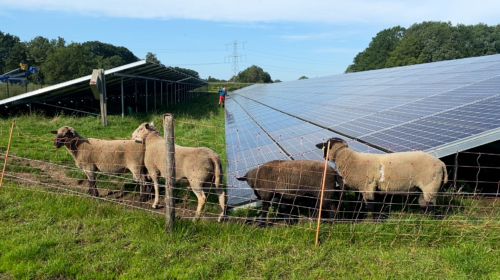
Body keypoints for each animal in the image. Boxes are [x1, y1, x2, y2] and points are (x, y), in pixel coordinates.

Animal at [314, 138, 448, 217]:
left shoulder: (368, 185)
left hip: (430, 185)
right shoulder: (359, 187)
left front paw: (375, 219)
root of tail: (442, 164)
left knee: (430, 205)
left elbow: (370, 204)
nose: (324, 157)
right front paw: (357, 215)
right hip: (425, 187)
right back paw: (421, 215)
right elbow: (358, 203)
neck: (349, 159)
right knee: (424, 202)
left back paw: (425, 219)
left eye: (326, 146)